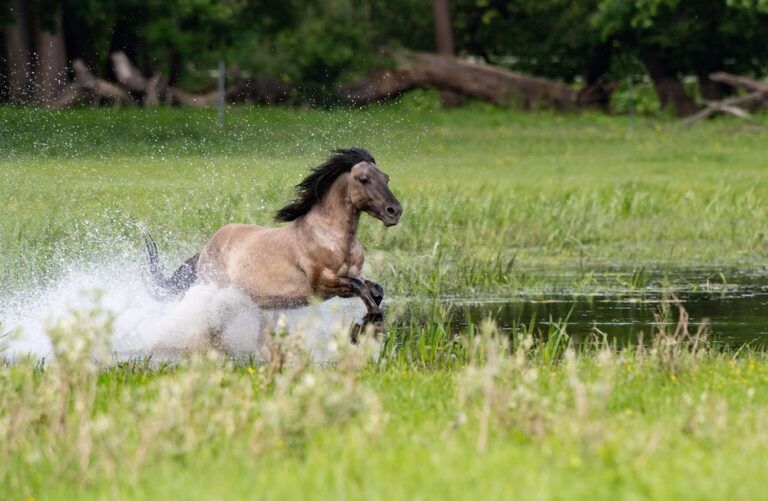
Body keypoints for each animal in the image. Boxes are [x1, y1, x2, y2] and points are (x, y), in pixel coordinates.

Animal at [146, 148, 404, 334]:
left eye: (386, 178)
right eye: (364, 179)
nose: (395, 211)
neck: (331, 238)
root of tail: (208, 247)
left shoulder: (349, 279)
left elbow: (374, 290)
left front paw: (365, 324)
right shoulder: (322, 284)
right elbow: (361, 289)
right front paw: (368, 325)